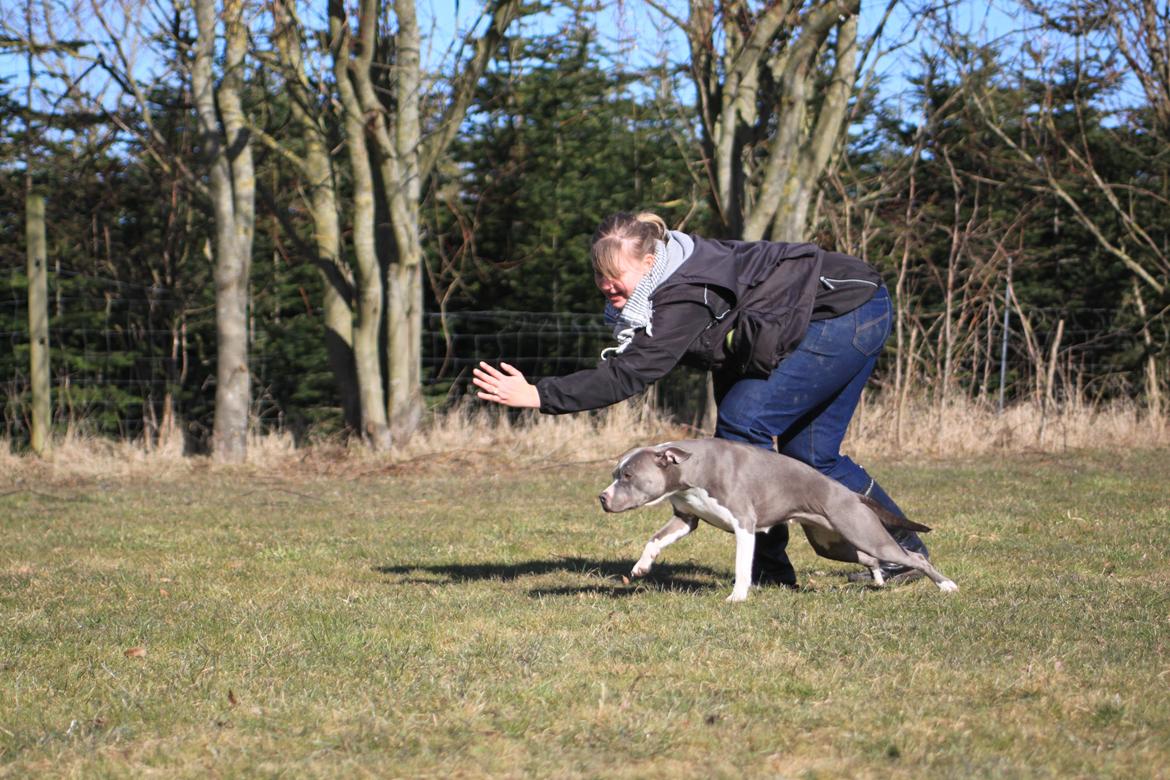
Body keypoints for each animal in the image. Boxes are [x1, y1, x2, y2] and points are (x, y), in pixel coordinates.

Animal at [599, 439, 954, 603]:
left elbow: (742, 565)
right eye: (615, 473)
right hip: (835, 543)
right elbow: (655, 539)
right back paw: (878, 580)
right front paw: (641, 567)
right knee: (871, 559)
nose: (602, 497)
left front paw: (738, 596)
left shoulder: (744, 525)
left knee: (913, 556)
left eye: (628, 476)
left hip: (863, 532)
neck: (690, 470)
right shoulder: (686, 518)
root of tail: (852, 495)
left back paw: (946, 585)